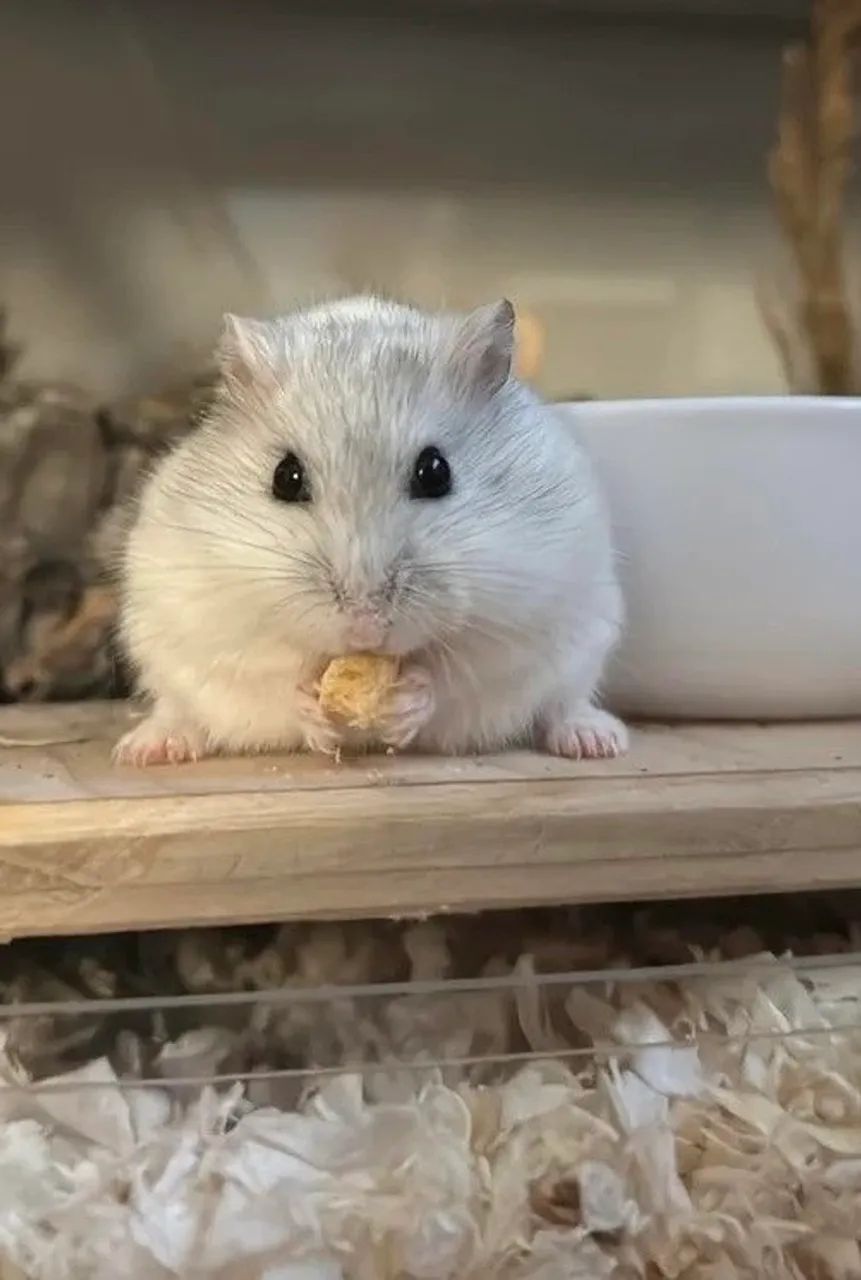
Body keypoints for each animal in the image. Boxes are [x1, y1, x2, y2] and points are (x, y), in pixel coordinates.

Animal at [115, 296, 627, 765]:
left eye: (435, 472)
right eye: (285, 477)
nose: (365, 628)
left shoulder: (522, 613)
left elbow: (456, 673)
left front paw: (407, 701)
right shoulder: (214, 619)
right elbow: (274, 672)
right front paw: (313, 710)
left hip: (582, 648)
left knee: (561, 706)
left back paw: (596, 741)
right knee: (180, 712)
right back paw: (145, 750)